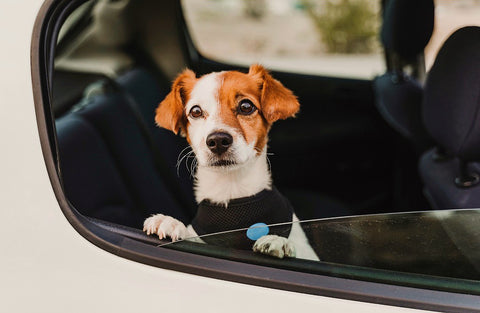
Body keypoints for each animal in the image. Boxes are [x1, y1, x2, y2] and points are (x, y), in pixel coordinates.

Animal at [144, 64, 320, 260]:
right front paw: (171, 223)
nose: (218, 140)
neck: (232, 187)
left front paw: (278, 240)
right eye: (195, 111)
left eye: (246, 106)